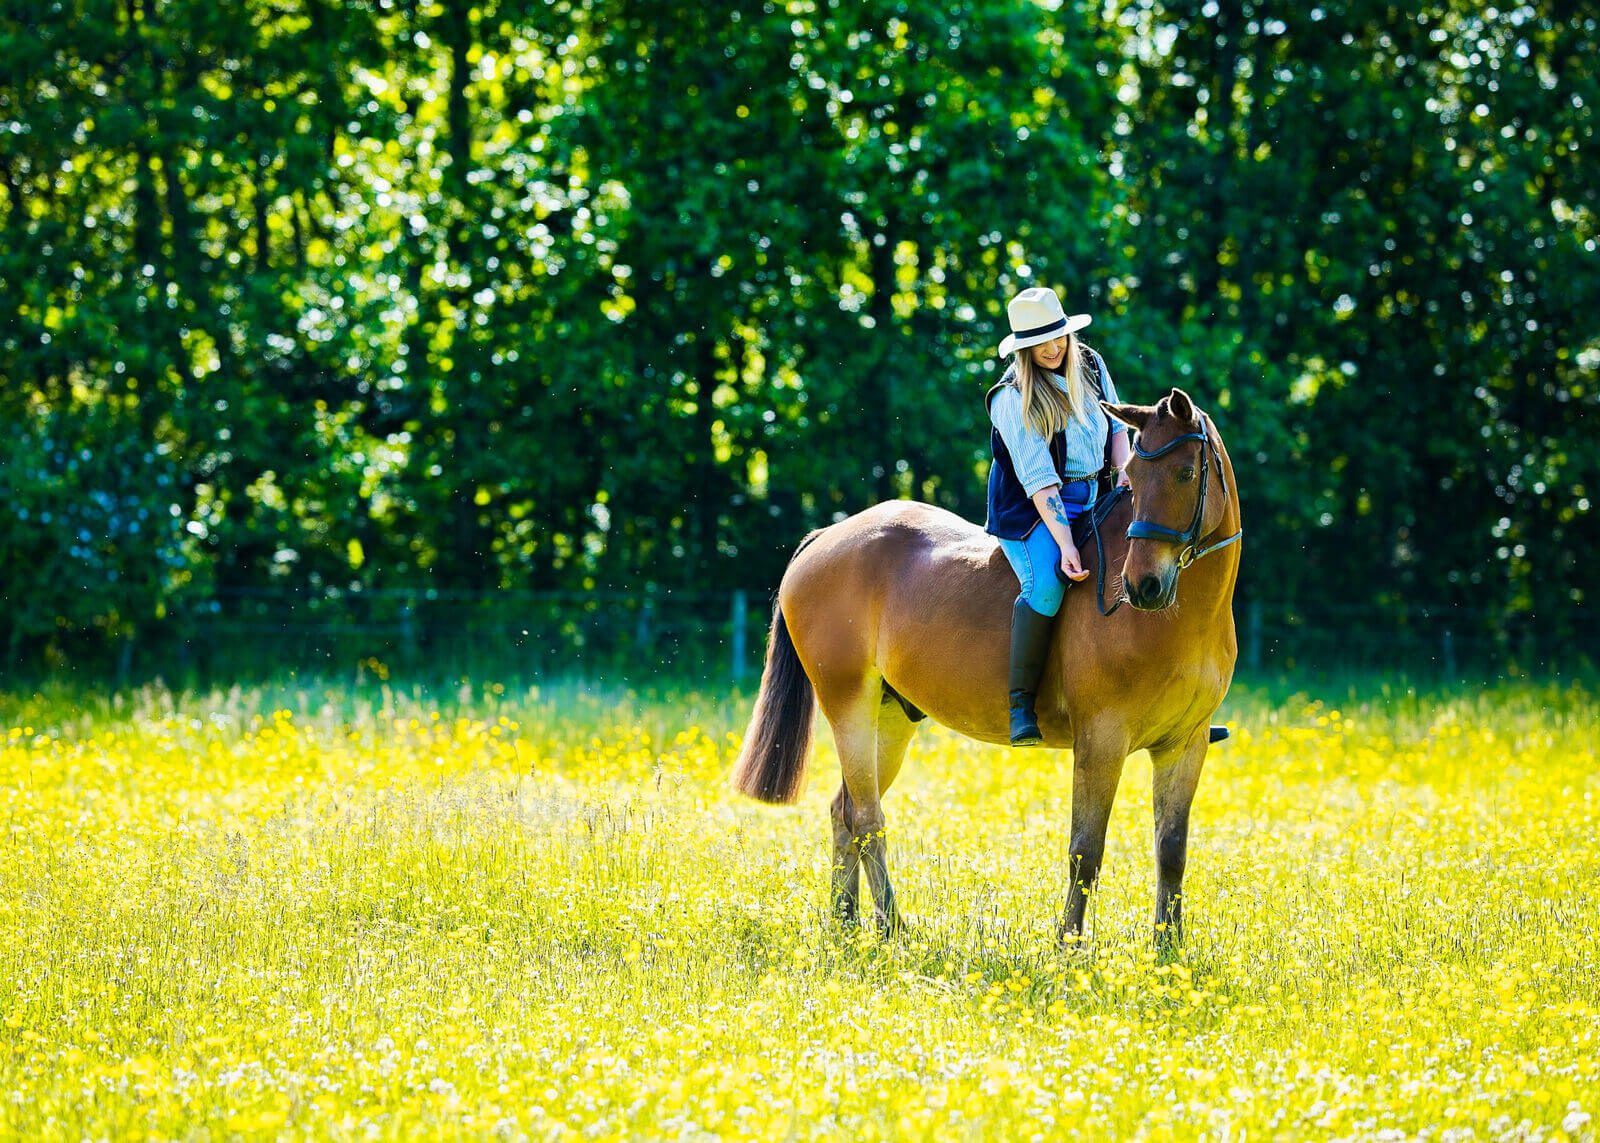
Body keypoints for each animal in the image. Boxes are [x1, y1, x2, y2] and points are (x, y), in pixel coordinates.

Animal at [731, 388, 1243, 946]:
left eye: (1184, 474)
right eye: (1134, 478)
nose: (1141, 586)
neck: (1183, 620)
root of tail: (826, 537)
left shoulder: (1185, 744)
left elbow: (1171, 850)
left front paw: (1166, 950)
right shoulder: (1102, 740)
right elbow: (1085, 852)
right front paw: (1068, 947)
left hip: (890, 718)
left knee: (844, 812)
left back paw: (846, 925)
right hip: (849, 706)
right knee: (866, 818)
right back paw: (893, 928)